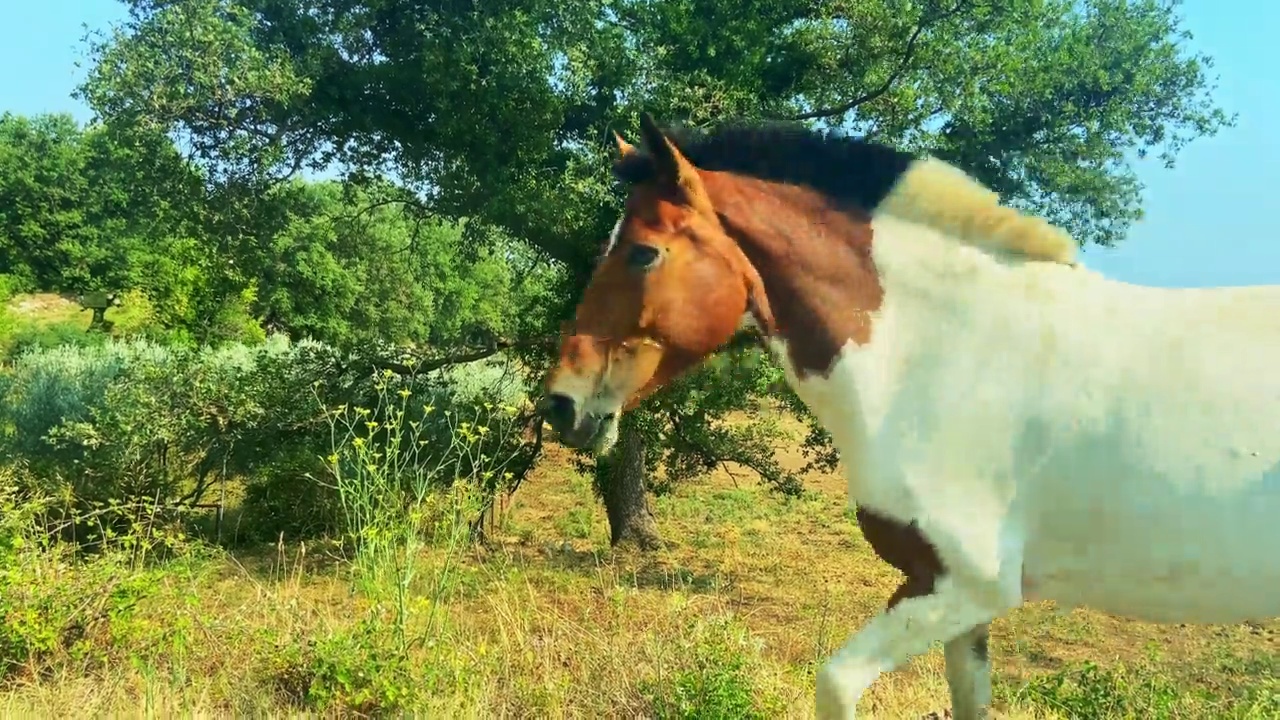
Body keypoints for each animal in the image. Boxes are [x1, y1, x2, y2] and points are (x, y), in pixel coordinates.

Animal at [532, 112, 1280, 717]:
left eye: (642, 251)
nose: (561, 403)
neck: (946, 351)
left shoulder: (959, 588)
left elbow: (834, 685)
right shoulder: (960, 608)